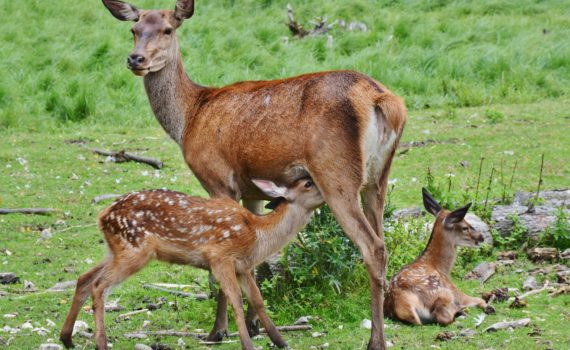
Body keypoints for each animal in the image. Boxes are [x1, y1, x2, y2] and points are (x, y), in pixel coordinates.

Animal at [60, 178, 322, 350]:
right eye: (308, 183)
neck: (258, 235)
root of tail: (103, 215)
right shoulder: (220, 257)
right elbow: (236, 300)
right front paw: (247, 343)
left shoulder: (244, 267)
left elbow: (257, 300)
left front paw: (280, 341)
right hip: (135, 250)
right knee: (99, 286)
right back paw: (100, 343)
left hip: (116, 249)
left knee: (84, 278)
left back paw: (67, 338)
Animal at [101, 0, 404, 348]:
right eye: (134, 29)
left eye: (167, 29)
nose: (136, 59)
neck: (189, 118)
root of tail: (384, 100)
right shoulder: (252, 190)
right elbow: (256, 259)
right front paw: (254, 325)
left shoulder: (218, 179)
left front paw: (217, 331)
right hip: (378, 179)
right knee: (382, 238)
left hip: (336, 175)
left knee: (373, 247)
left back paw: (375, 340)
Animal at [384, 189, 490, 326]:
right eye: (465, 227)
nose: (481, 237)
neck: (441, 268)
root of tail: (403, 306)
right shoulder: (455, 290)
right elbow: (479, 300)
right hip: (443, 292)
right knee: (443, 317)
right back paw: (461, 312)